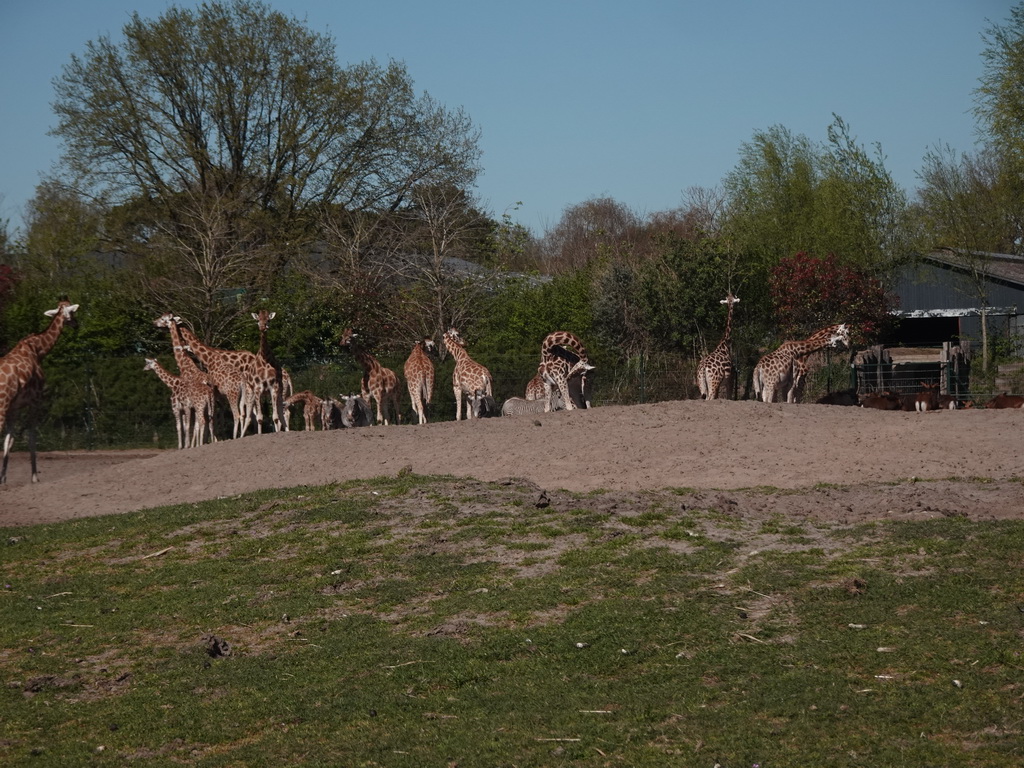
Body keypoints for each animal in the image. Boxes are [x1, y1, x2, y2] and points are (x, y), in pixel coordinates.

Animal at [150, 311, 215, 444]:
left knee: (201, 421)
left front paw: (188, 444)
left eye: (163, 319)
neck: (183, 364)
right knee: (211, 420)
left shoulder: (185, 402)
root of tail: (208, 381)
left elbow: (187, 425)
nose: (153, 322)